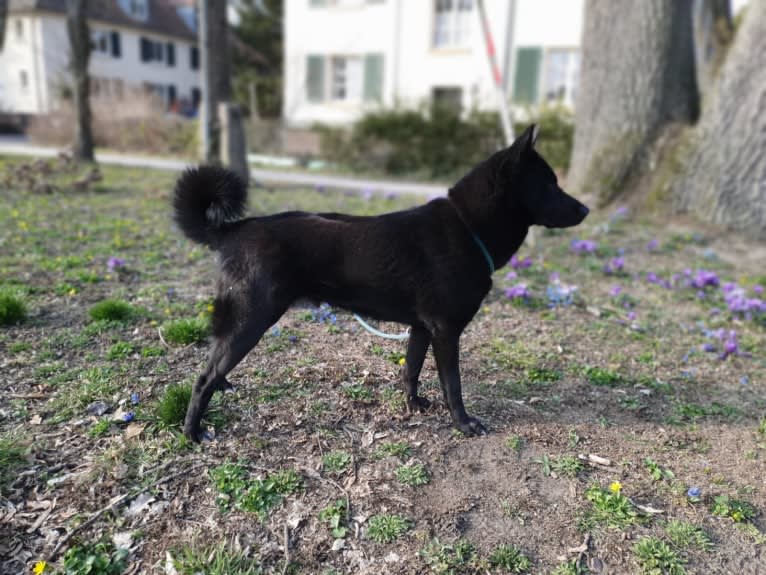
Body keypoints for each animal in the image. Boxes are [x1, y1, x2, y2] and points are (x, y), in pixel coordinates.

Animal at [174, 126, 592, 440]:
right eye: (550, 184)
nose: (587, 209)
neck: (467, 226)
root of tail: (235, 229)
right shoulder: (446, 333)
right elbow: (453, 385)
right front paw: (463, 424)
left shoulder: (422, 329)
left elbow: (411, 370)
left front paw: (414, 405)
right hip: (252, 319)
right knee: (203, 377)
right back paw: (193, 431)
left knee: (215, 363)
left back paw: (222, 389)